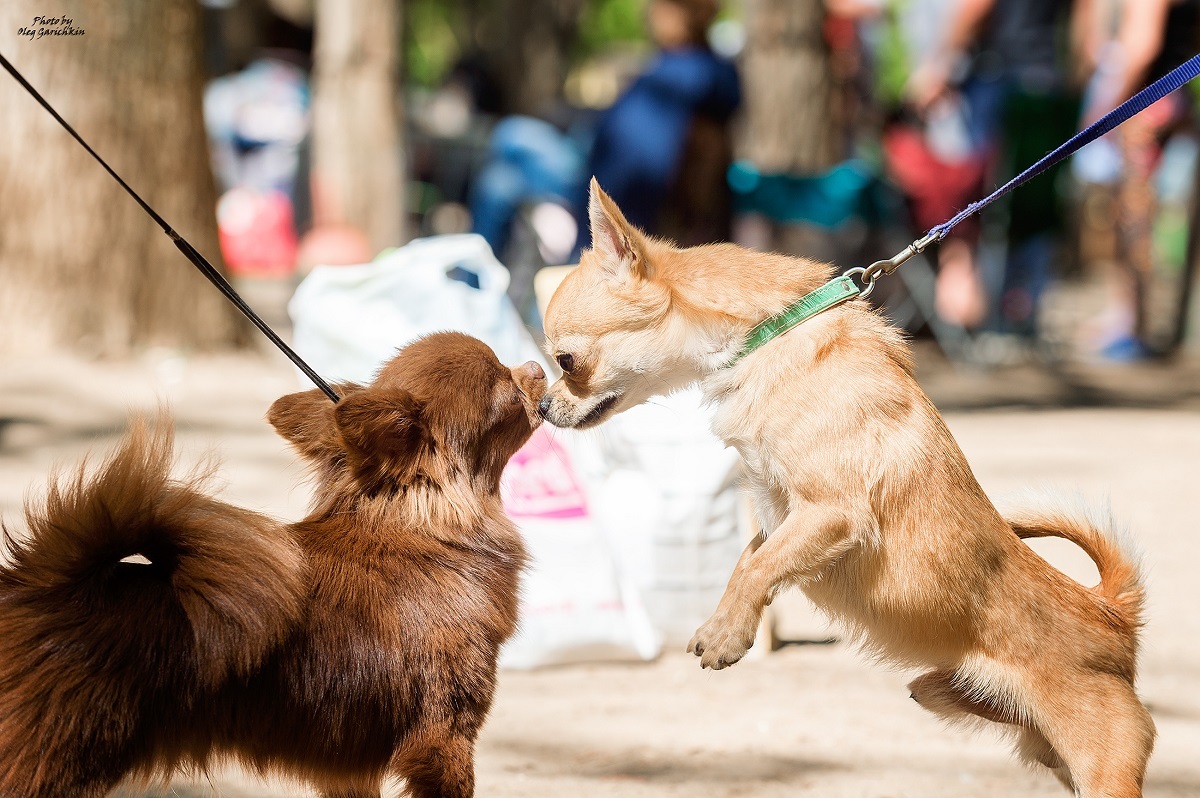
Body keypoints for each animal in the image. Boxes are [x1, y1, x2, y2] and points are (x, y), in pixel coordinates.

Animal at [0, 331, 549, 796]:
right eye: (504, 389)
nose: (538, 365)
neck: (425, 531)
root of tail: (45, 585)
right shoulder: (443, 739)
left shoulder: (349, 768)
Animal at [542, 180, 1152, 796]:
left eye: (565, 361)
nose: (541, 405)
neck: (767, 336)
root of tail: (1111, 614)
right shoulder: (779, 516)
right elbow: (749, 563)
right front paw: (721, 622)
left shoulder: (831, 512)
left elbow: (760, 569)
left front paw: (727, 637)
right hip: (971, 711)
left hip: (1101, 773)